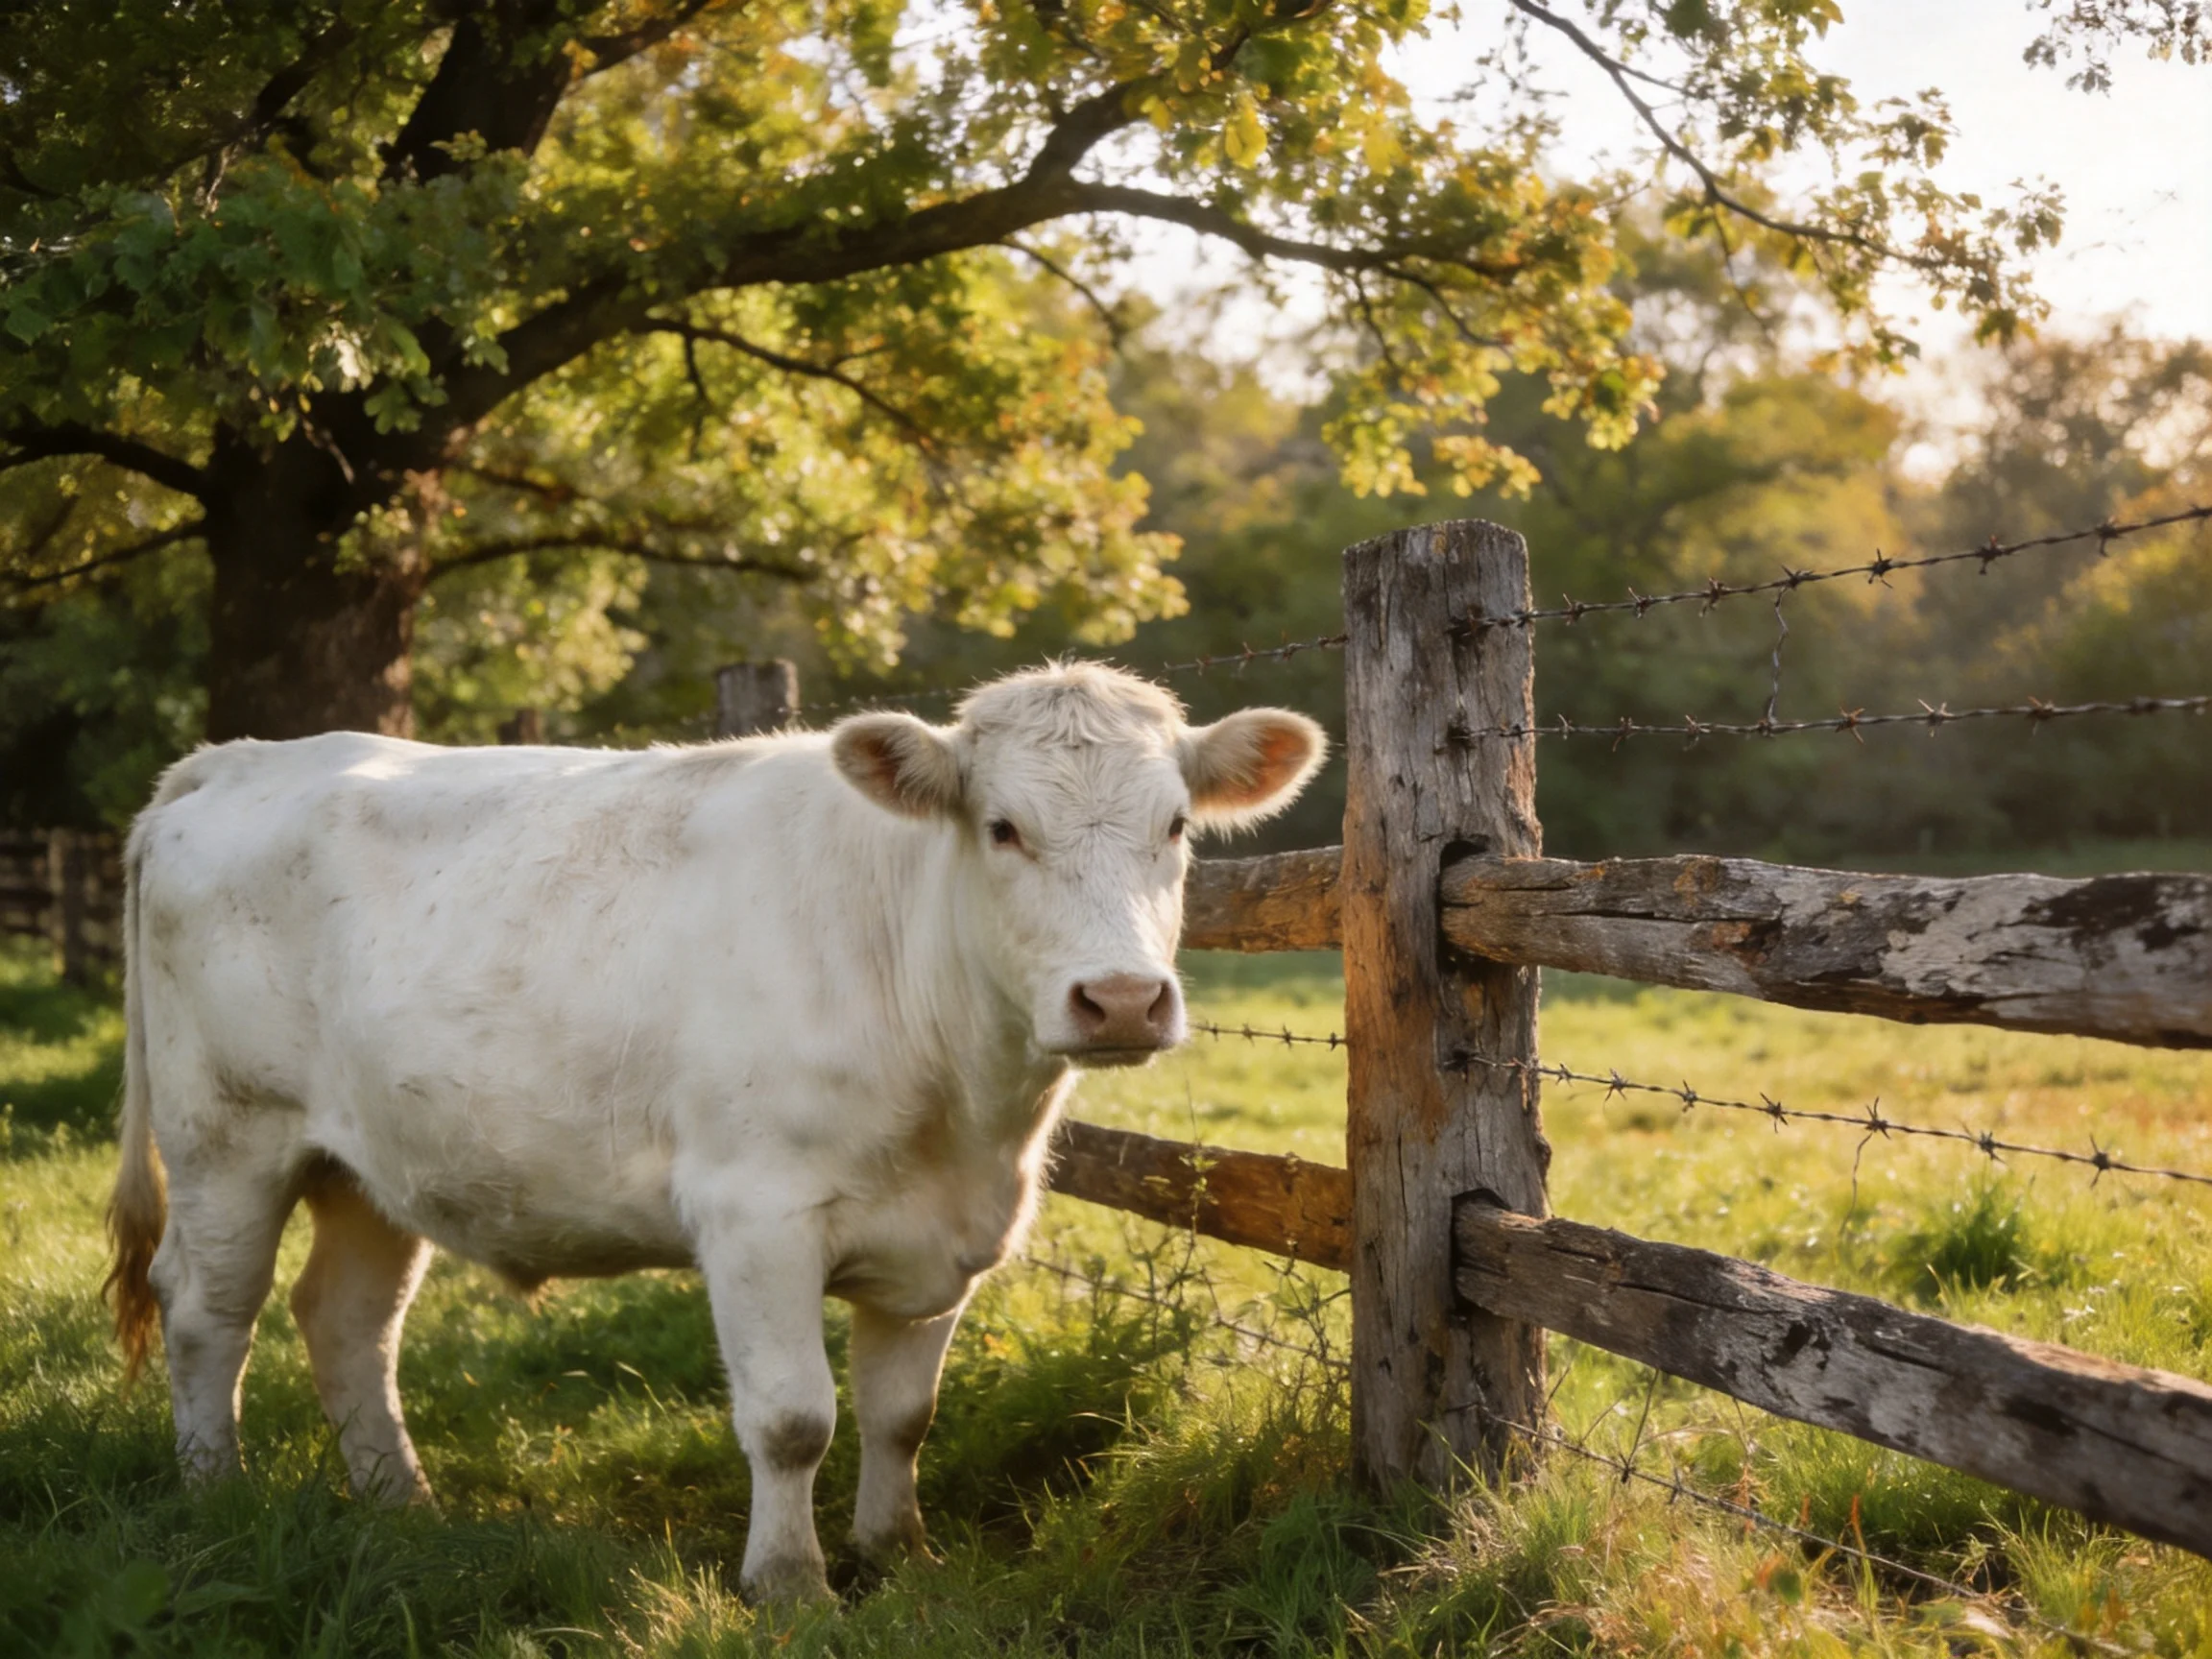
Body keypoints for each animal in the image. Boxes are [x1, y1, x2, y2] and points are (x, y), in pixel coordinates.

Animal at [104, 662, 1324, 1602]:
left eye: (1175, 826)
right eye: (1003, 828)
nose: (1119, 1000)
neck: (963, 1112)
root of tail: (238, 759)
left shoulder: (946, 1238)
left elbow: (903, 1415)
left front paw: (899, 1557)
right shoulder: (755, 1216)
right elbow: (793, 1419)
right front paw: (790, 1584)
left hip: (368, 1160)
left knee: (346, 1321)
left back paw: (403, 1503)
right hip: (227, 1136)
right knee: (208, 1311)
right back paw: (216, 1493)